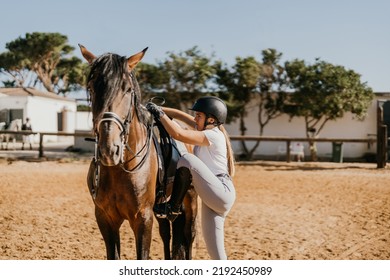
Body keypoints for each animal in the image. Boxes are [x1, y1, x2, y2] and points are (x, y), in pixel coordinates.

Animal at [80, 44, 200, 260]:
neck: (120, 169)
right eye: (92, 89)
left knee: (189, 236)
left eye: (127, 90)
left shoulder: (143, 219)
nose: (109, 149)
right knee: (166, 233)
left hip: (191, 199)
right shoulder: (105, 218)